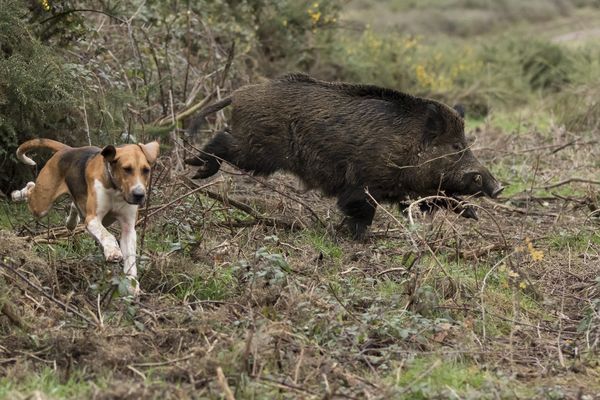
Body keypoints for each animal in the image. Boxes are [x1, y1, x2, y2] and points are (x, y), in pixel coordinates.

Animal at [11, 139, 159, 296]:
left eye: (146, 170)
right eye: (126, 169)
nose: (139, 195)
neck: (116, 189)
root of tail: (69, 150)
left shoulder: (128, 228)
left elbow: (131, 257)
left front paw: (132, 283)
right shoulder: (92, 219)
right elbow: (108, 235)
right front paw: (113, 251)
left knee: (73, 205)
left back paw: (71, 222)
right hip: (41, 205)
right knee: (30, 188)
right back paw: (18, 194)